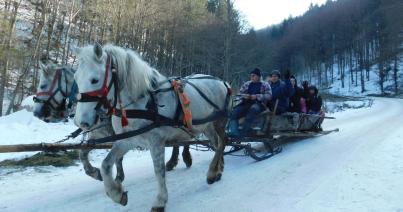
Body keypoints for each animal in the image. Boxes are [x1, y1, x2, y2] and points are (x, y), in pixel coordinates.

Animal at [72, 44, 230, 211]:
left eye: (94, 80)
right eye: (76, 78)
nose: (81, 122)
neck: (144, 102)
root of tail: (222, 82)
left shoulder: (156, 142)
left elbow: (159, 171)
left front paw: (160, 201)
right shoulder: (128, 140)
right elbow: (106, 164)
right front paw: (116, 193)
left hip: (219, 122)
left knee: (222, 142)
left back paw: (212, 173)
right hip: (206, 126)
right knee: (216, 144)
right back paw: (218, 169)